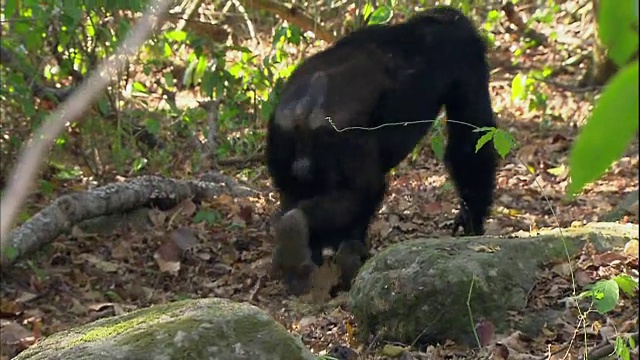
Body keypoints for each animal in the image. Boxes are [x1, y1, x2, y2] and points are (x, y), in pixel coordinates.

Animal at [264, 5, 500, 296]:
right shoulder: (467, 56)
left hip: (280, 143)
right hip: (344, 141)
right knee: (363, 191)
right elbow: (470, 140)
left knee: (296, 196)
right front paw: (473, 222)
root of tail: (303, 110)